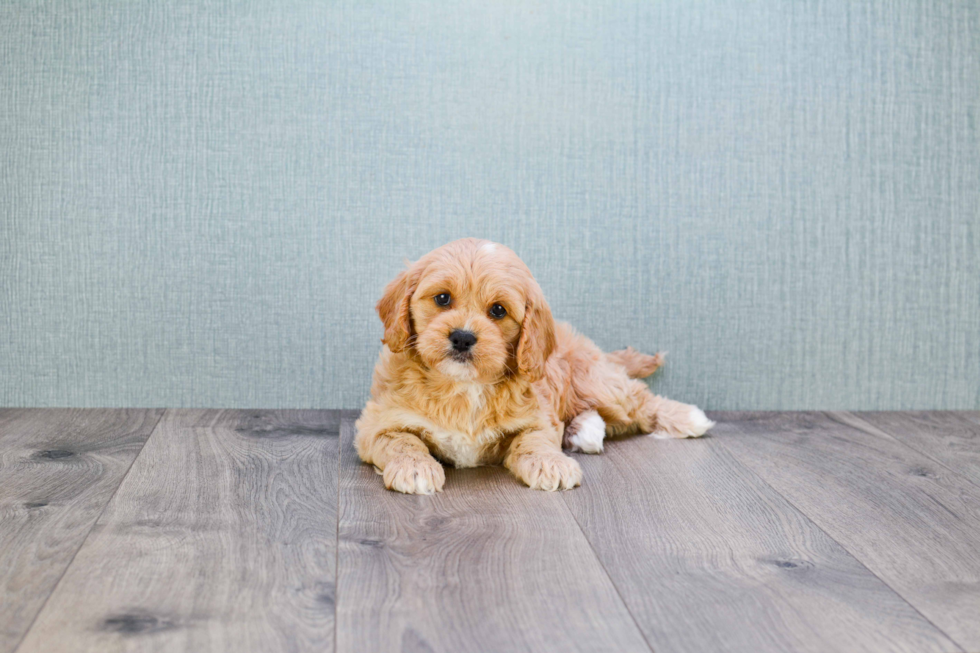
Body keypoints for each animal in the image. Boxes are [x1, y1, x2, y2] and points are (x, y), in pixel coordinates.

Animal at [352, 239, 712, 494]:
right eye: (442, 298)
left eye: (498, 310)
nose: (463, 337)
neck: (464, 386)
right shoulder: (378, 424)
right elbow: (403, 442)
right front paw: (415, 469)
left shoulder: (537, 417)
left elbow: (534, 441)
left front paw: (551, 465)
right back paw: (585, 431)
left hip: (597, 383)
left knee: (638, 401)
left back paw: (687, 417)